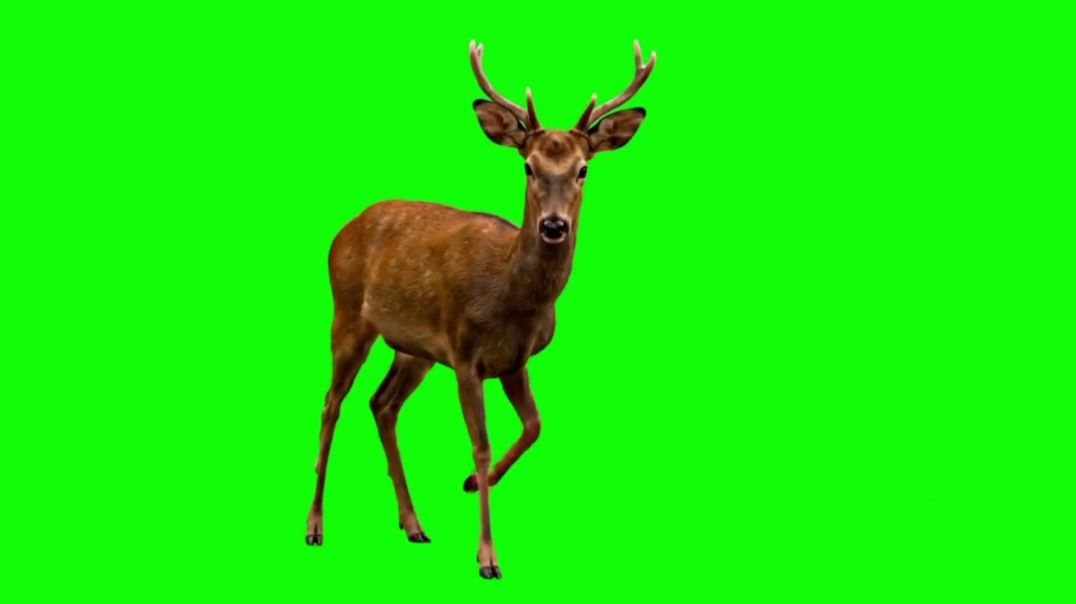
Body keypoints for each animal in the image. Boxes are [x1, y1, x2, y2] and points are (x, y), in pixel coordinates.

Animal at [305, 39, 656, 579]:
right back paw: (315, 526)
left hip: (415, 349)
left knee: (382, 404)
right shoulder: (466, 353)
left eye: (583, 168)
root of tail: (343, 228)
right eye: (527, 165)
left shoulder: (514, 360)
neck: (513, 297)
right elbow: (483, 442)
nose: (554, 226)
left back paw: (414, 524)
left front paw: (473, 481)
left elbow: (535, 426)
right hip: (347, 315)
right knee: (331, 403)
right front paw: (488, 557)